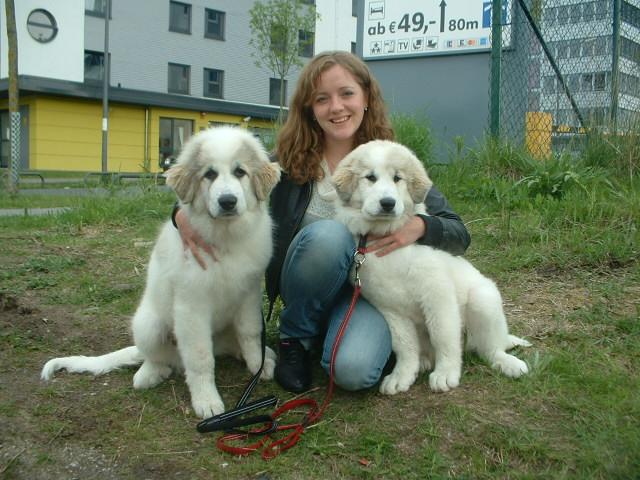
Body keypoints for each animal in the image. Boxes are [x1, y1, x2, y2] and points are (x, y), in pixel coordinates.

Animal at [40, 126, 280, 416]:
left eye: (240, 172)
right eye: (209, 174)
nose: (228, 202)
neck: (224, 238)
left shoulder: (248, 294)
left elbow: (250, 333)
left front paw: (257, 366)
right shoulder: (191, 306)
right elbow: (200, 358)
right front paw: (207, 401)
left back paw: (260, 355)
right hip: (149, 325)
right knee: (159, 358)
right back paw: (149, 374)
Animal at [332, 141, 532, 396]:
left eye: (397, 178)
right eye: (370, 177)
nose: (388, 203)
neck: (386, 237)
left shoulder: (437, 296)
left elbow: (443, 335)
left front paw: (446, 373)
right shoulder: (388, 308)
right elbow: (404, 345)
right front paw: (402, 375)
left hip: (483, 300)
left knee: (489, 347)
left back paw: (508, 363)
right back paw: (424, 360)